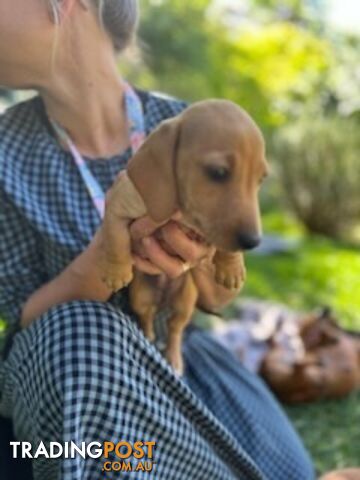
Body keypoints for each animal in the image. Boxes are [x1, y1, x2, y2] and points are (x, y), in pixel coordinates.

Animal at [100, 99, 268, 374]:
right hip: (141, 297)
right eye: (218, 172)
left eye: (260, 179)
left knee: (175, 330)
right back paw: (150, 337)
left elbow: (225, 241)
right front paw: (115, 271)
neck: (182, 212)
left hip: (185, 302)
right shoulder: (117, 205)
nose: (253, 242)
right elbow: (114, 239)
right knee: (147, 320)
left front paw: (231, 268)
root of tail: (163, 298)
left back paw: (175, 358)